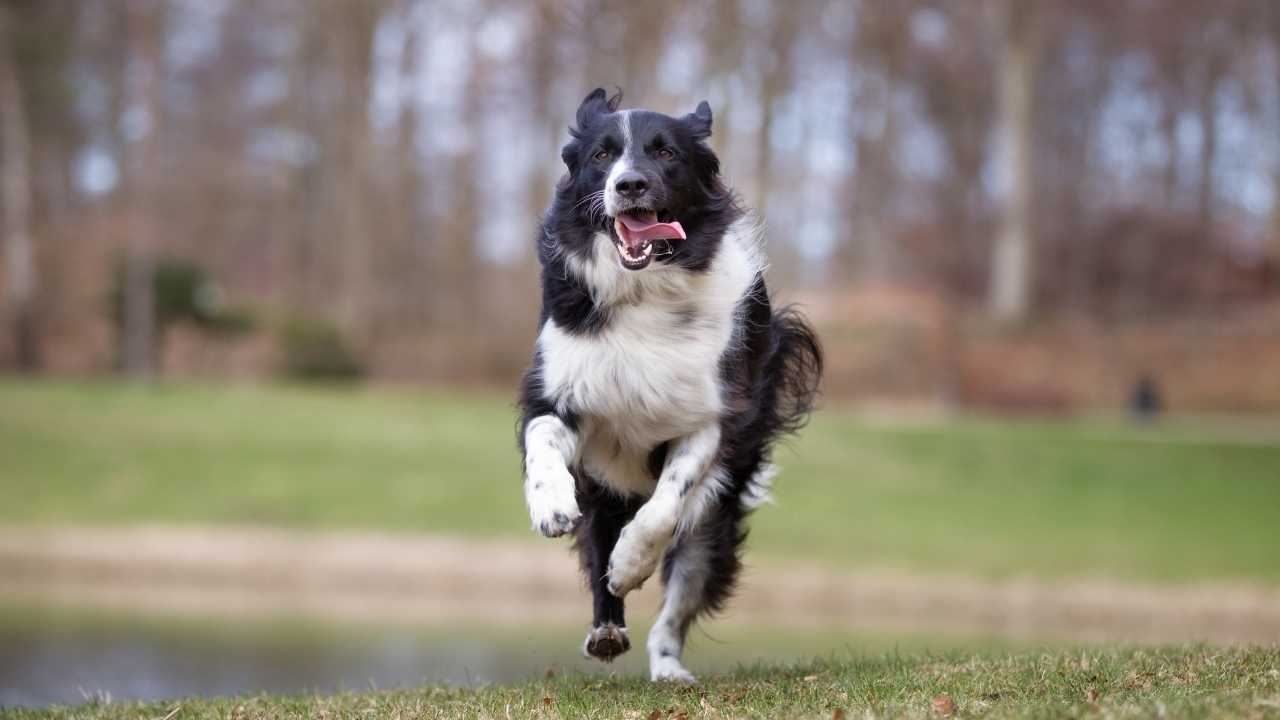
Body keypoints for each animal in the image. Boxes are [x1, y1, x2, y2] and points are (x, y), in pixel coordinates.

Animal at [517, 88, 819, 676]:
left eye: (666, 153)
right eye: (601, 155)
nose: (630, 184)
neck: (644, 289)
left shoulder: (710, 416)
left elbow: (665, 505)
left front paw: (631, 563)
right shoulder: (558, 393)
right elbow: (542, 444)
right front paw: (551, 508)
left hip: (714, 525)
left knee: (677, 602)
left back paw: (668, 668)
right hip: (604, 491)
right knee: (599, 542)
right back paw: (607, 629)